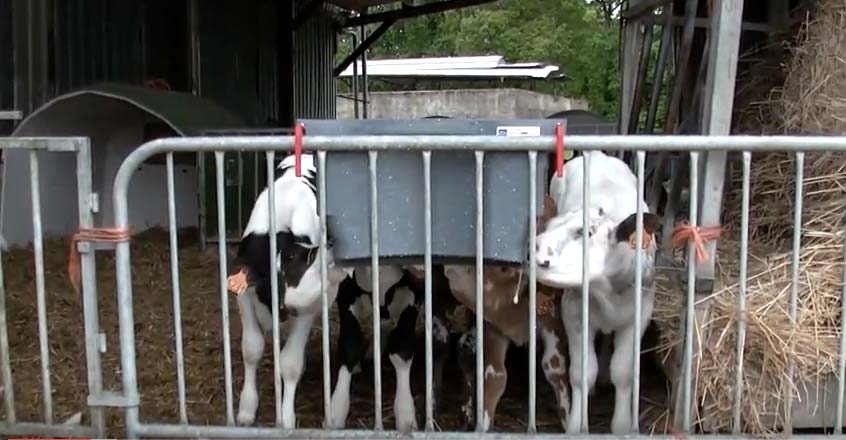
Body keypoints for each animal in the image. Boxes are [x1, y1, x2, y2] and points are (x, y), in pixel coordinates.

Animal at [536, 150, 664, 434]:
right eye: (549, 226)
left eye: (584, 232)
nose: (534, 247)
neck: (607, 292)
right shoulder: (573, 312)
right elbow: (582, 372)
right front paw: (577, 425)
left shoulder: (640, 315)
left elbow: (623, 371)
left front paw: (622, 425)